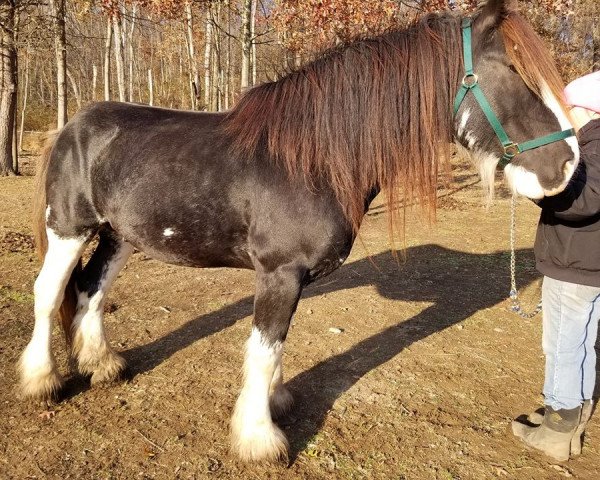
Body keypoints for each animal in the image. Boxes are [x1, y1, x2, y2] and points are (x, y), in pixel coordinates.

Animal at [21, 0, 580, 464]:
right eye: (513, 71)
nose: (569, 166)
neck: (311, 161)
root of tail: (71, 126)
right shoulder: (279, 274)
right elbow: (264, 347)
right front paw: (258, 439)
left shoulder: (289, 280)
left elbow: (276, 347)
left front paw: (274, 402)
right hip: (69, 228)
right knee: (48, 292)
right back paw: (42, 380)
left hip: (119, 235)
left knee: (91, 289)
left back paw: (102, 365)